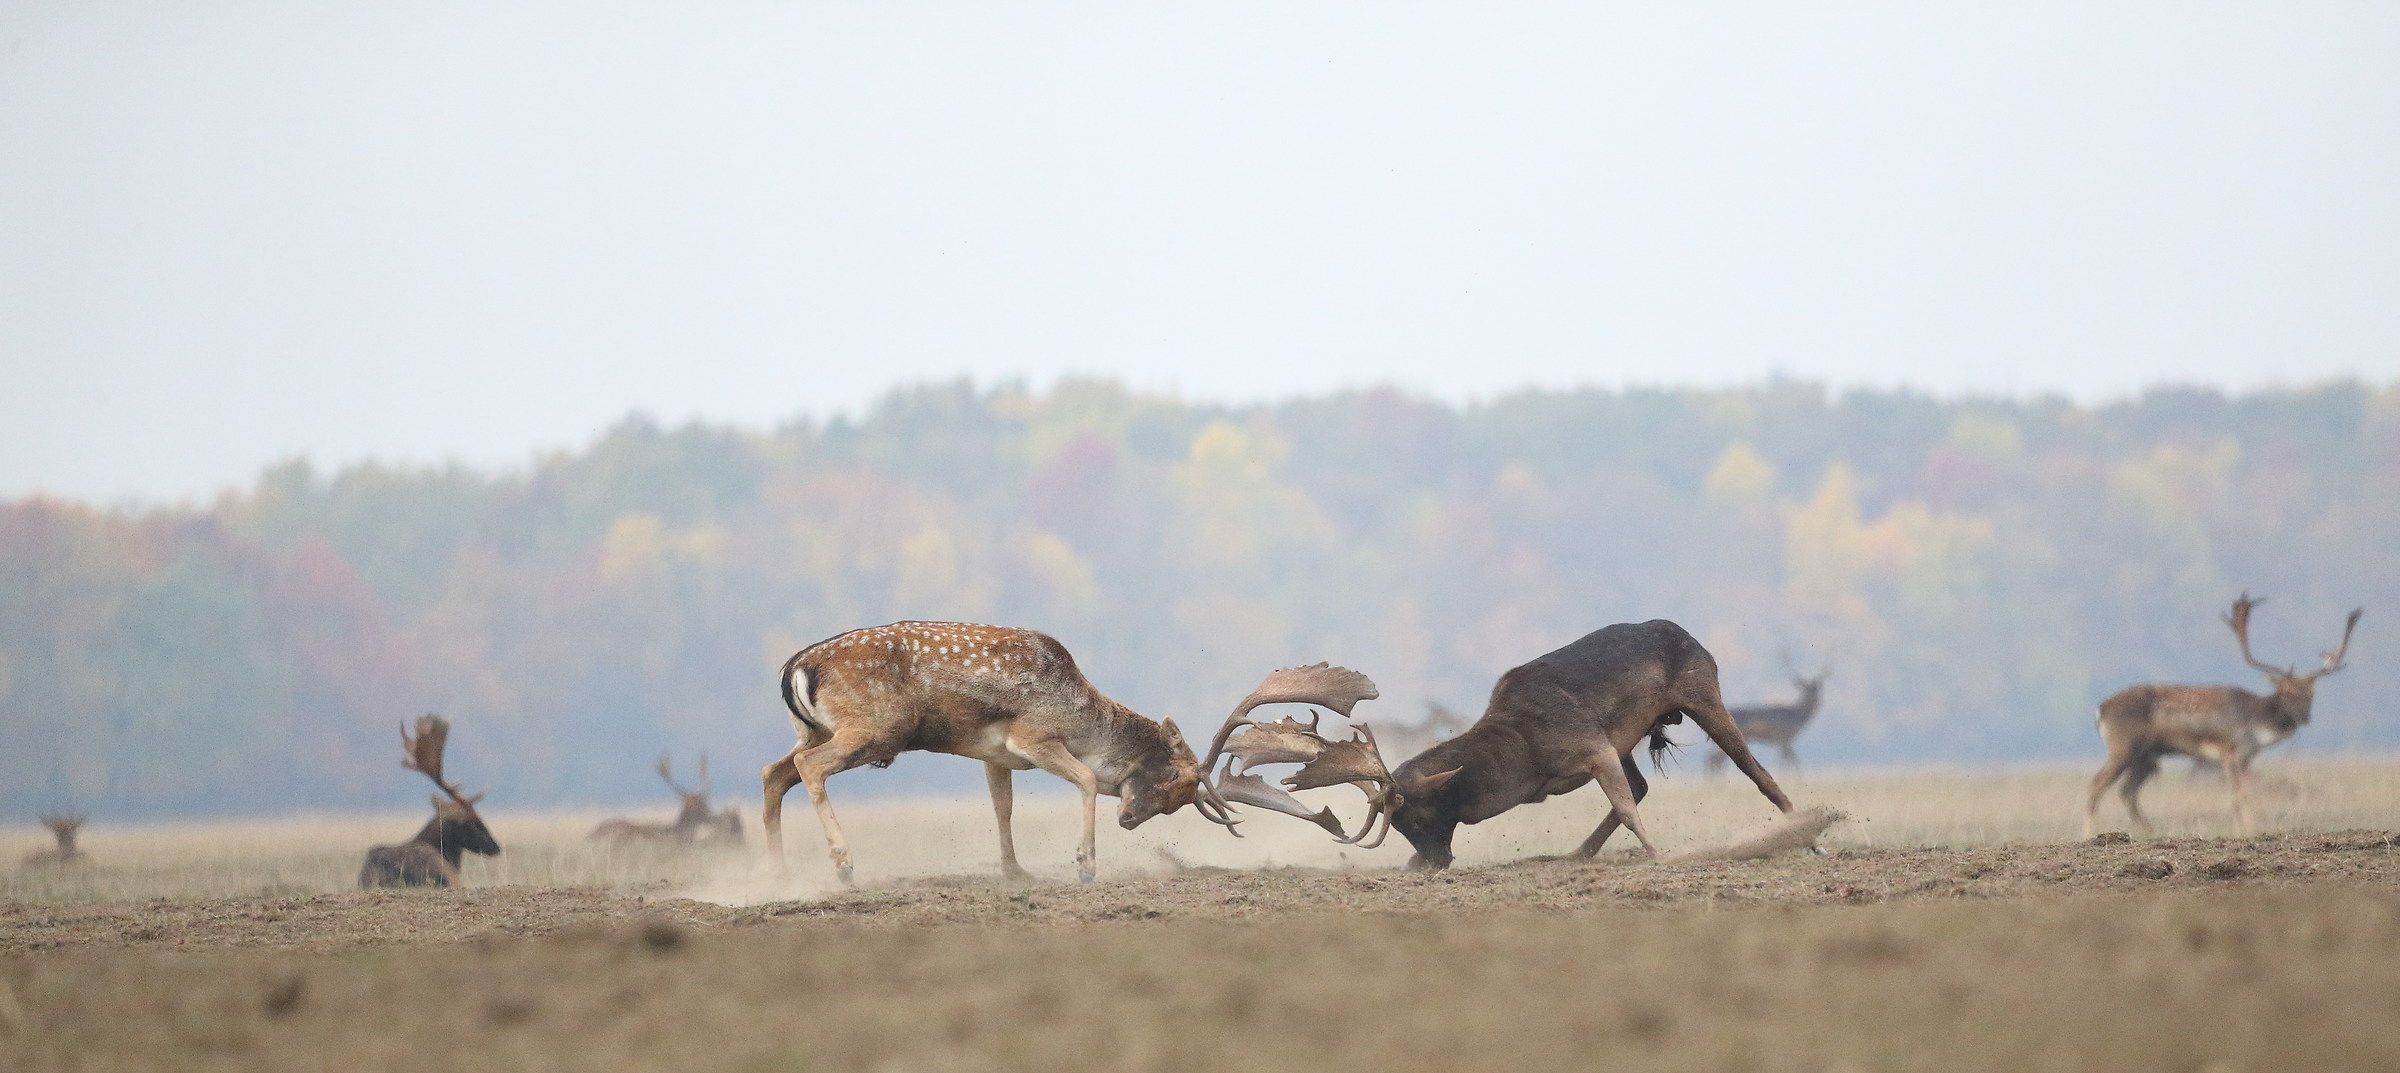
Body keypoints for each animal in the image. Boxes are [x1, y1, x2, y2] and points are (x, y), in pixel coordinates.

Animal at [763, 621, 1366, 885]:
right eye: (1170, 781)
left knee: (773, 771)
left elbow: (1002, 807)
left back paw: (781, 876)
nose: (1128, 819)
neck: (1081, 716)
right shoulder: (1030, 738)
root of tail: (794, 667)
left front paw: (1016, 872)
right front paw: (1085, 865)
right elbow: (1085, 779)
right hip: (875, 728)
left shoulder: (995, 755)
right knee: (806, 768)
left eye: (1176, 803)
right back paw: (843, 866)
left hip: (814, 730)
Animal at [2084, 594, 2362, 838]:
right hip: (2123, 747)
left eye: (2311, 693)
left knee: (2127, 791)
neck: (2255, 725)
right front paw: (2249, 832)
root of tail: (2100, 709)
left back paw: (2151, 832)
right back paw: (2089, 834)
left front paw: (2243, 830)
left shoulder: (2244, 758)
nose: (2305, 717)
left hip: (2147, 757)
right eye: (2286, 691)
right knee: (2096, 785)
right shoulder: (2228, 750)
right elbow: (2240, 796)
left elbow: (2237, 797)